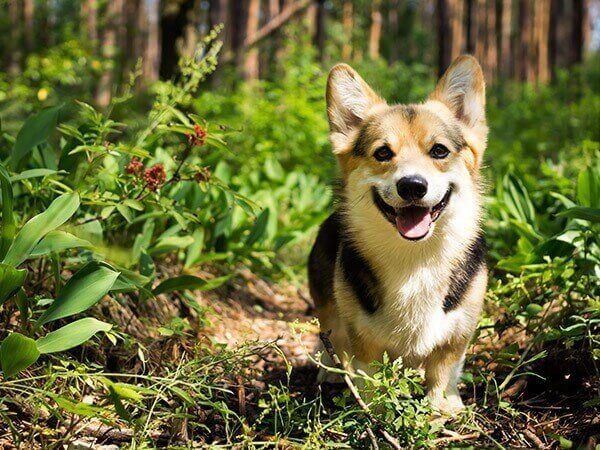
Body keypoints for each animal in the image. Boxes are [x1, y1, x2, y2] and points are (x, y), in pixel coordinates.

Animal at [310, 55, 488, 412]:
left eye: (439, 151)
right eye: (383, 153)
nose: (412, 186)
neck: (414, 259)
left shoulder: (457, 333)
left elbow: (443, 372)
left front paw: (444, 409)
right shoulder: (363, 337)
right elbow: (370, 378)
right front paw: (375, 413)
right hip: (327, 306)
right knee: (332, 337)